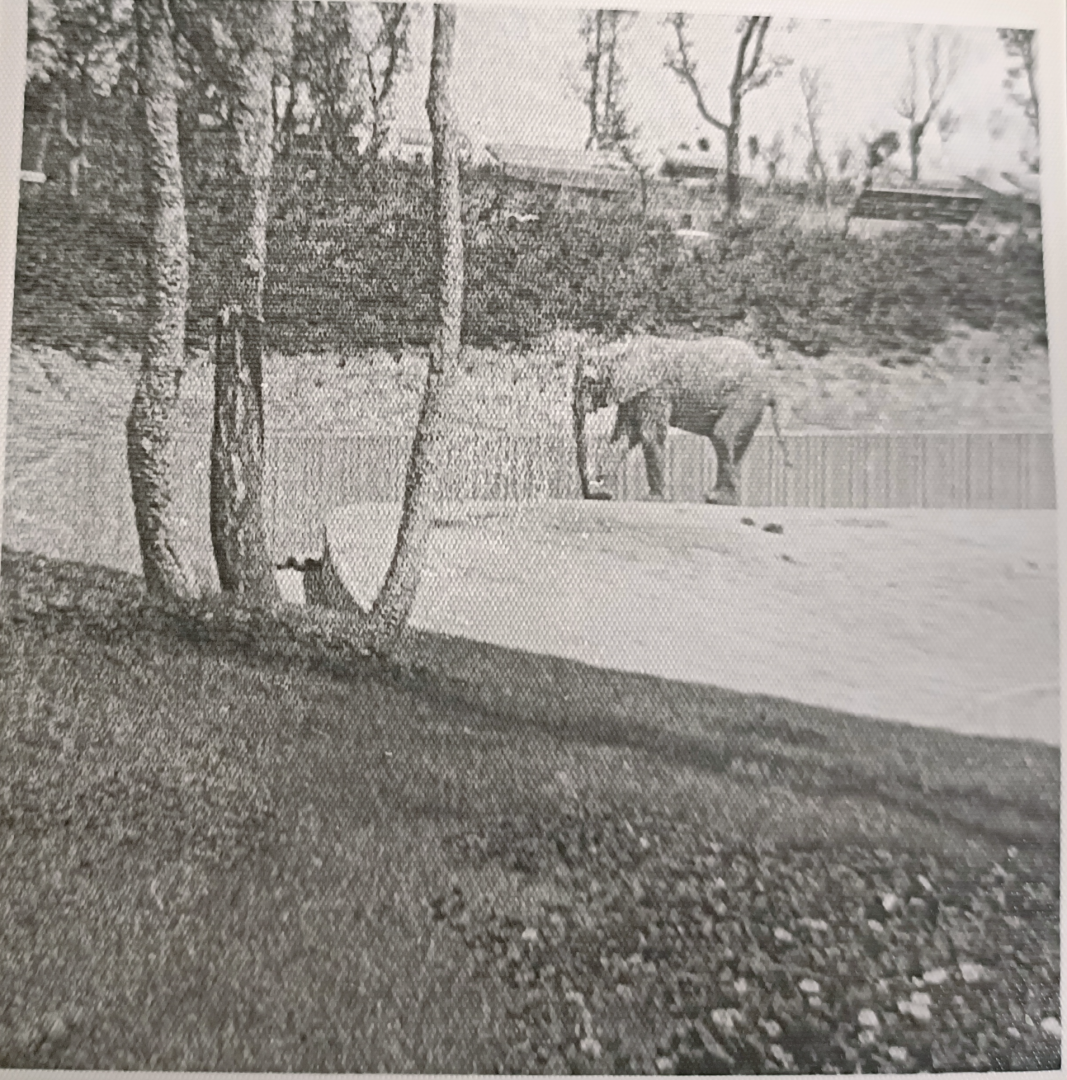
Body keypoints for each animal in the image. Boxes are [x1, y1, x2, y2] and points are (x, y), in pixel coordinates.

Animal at [572, 334, 790, 505]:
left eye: (589, 382)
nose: (589, 492)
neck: (621, 349)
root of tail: (772, 383)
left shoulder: (655, 390)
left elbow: (649, 435)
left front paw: (653, 500)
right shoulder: (634, 393)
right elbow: (622, 436)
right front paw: (603, 495)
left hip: (747, 396)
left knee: (722, 434)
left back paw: (718, 499)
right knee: (733, 441)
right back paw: (721, 499)